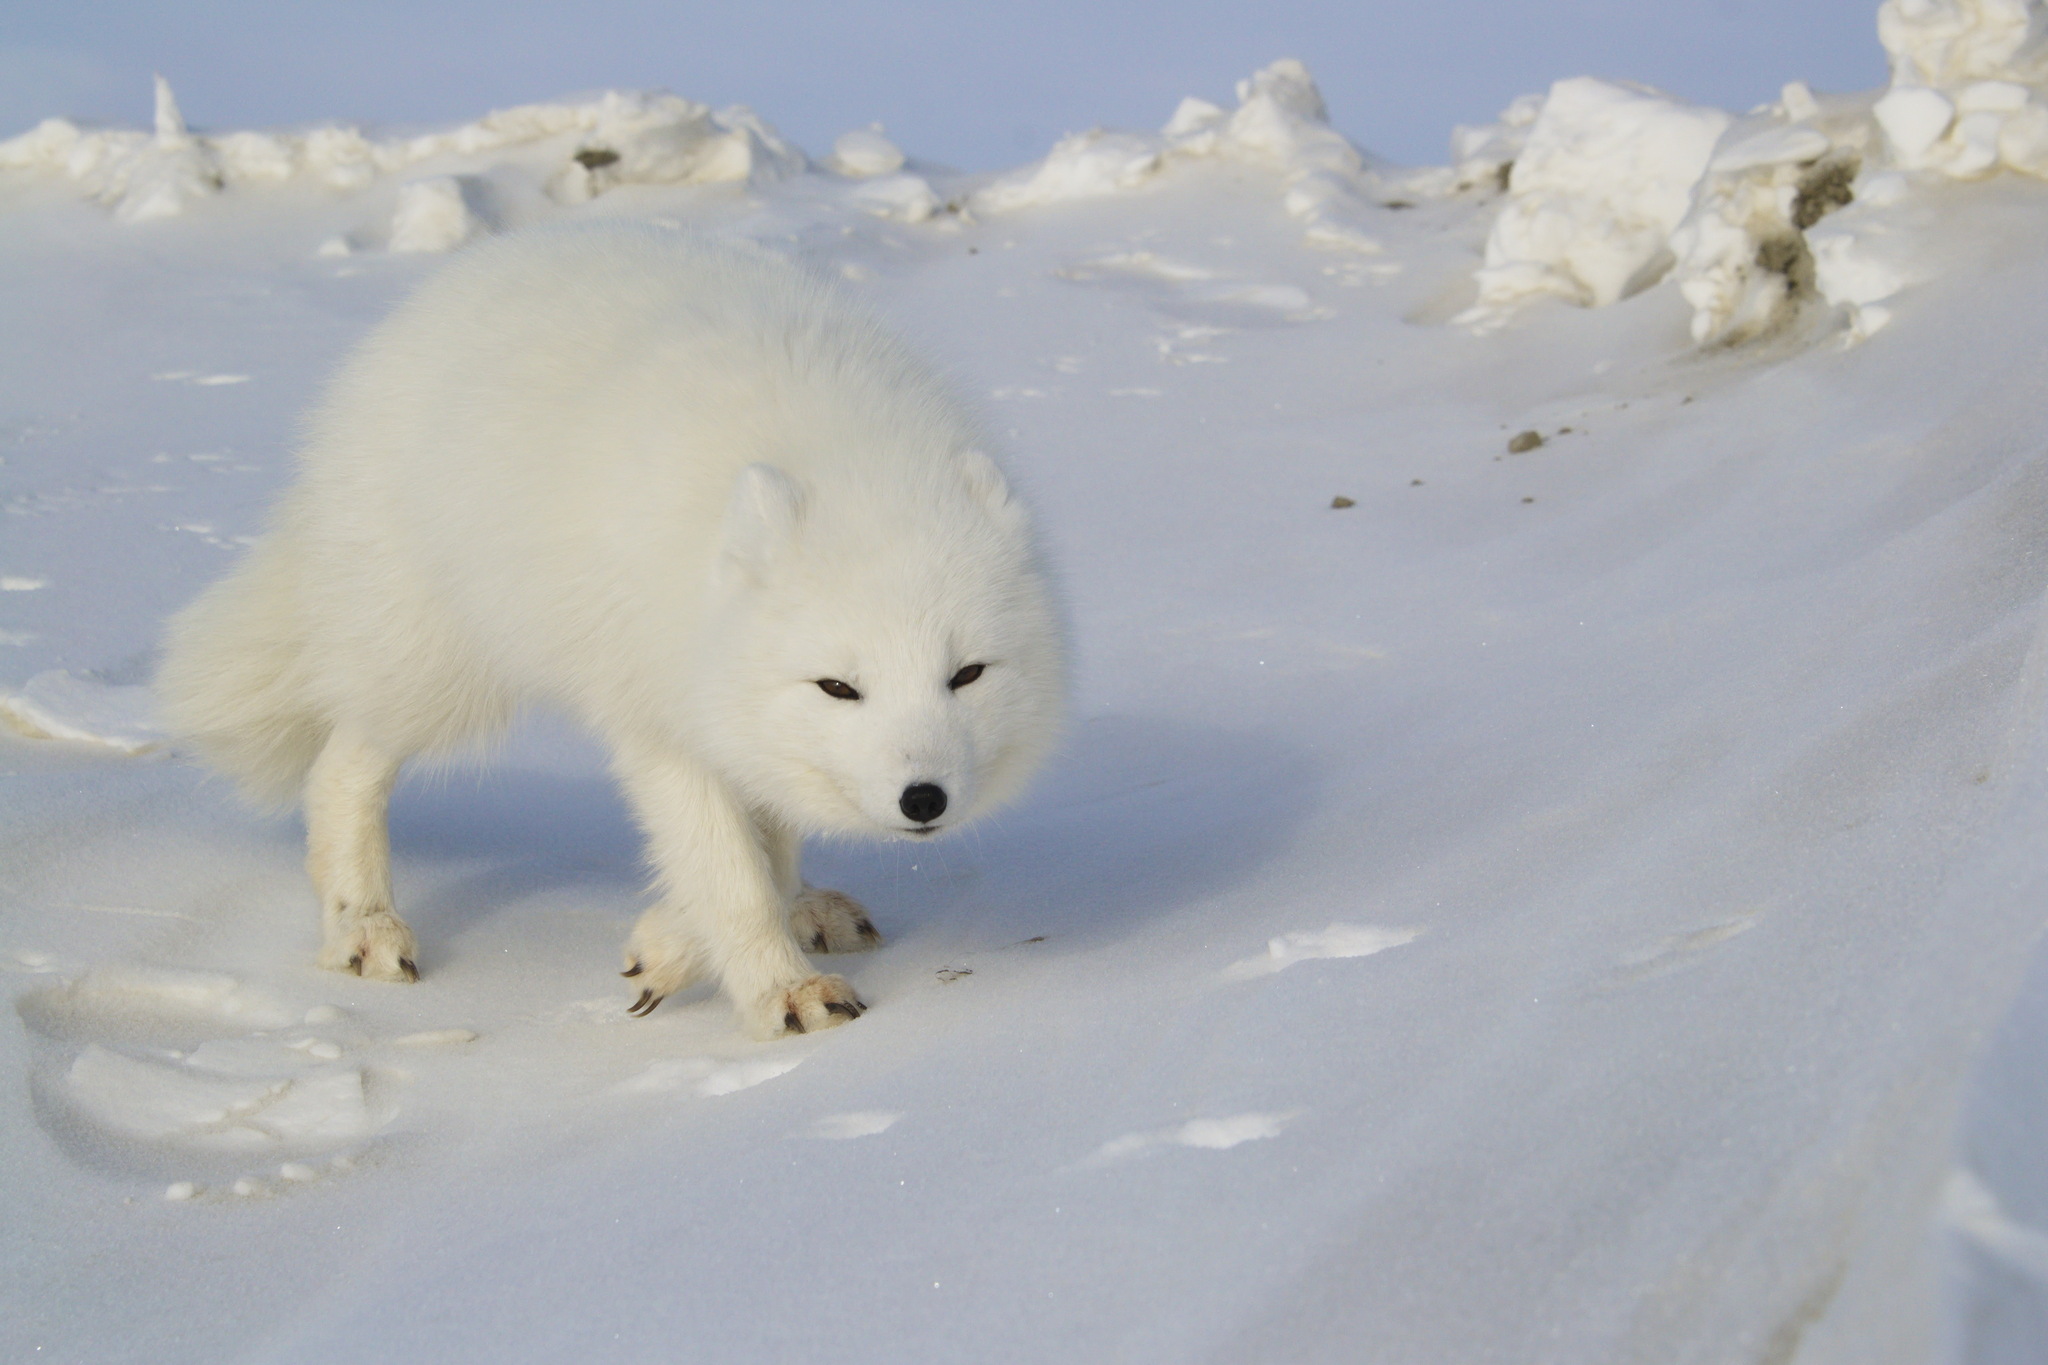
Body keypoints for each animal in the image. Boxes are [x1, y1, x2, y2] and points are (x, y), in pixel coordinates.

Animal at [155, 222, 1073, 1035]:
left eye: (967, 674)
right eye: (839, 685)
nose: (924, 798)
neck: (848, 460)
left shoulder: (723, 709)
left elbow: (758, 854)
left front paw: (676, 942)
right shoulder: (656, 710)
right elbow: (731, 873)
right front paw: (781, 991)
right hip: (439, 667)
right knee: (341, 767)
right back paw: (361, 924)